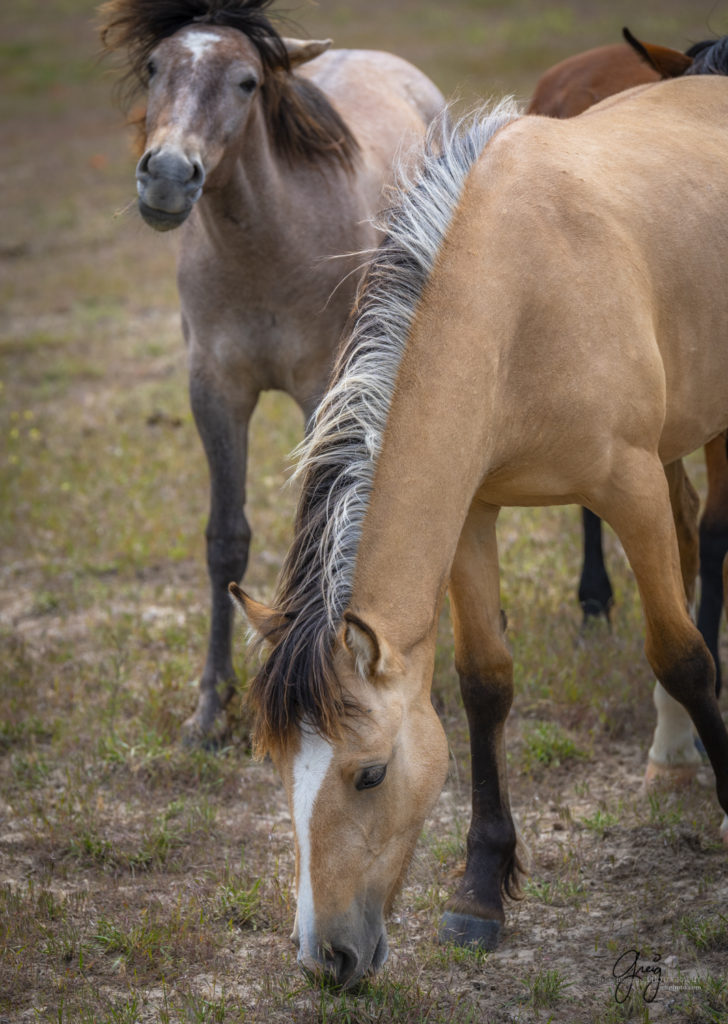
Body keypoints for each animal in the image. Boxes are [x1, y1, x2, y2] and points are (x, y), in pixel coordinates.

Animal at [99, 0, 446, 741]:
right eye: (154, 67)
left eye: (247, 82)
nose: (167, 175)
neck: (265, 244)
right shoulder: (216, 391)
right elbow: (225, 539)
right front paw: (210, 706)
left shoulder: (321, 391)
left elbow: (316, 528)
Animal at [232, 79, 728, 991]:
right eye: (279, 769)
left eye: (369, 774)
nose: (327, 958)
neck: (522, 297)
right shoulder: (473, 513)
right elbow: (484, 684)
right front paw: (480, 890)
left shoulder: (627, 486)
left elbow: (680, 653)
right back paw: (672, 751)